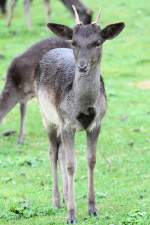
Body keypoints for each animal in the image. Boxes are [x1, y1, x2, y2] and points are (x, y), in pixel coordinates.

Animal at [36, 5, 125, 223]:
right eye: (74, 42)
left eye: (97, 42)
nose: (82, 66)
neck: (83, 106)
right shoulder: (67, 122)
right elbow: (71, 165)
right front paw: (71, 215)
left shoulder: (96, 123)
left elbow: (91, 161)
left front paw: (93, 208)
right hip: (47, 117)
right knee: (52, 152)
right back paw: (57, 200)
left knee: (59, 152)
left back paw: (66, 195)